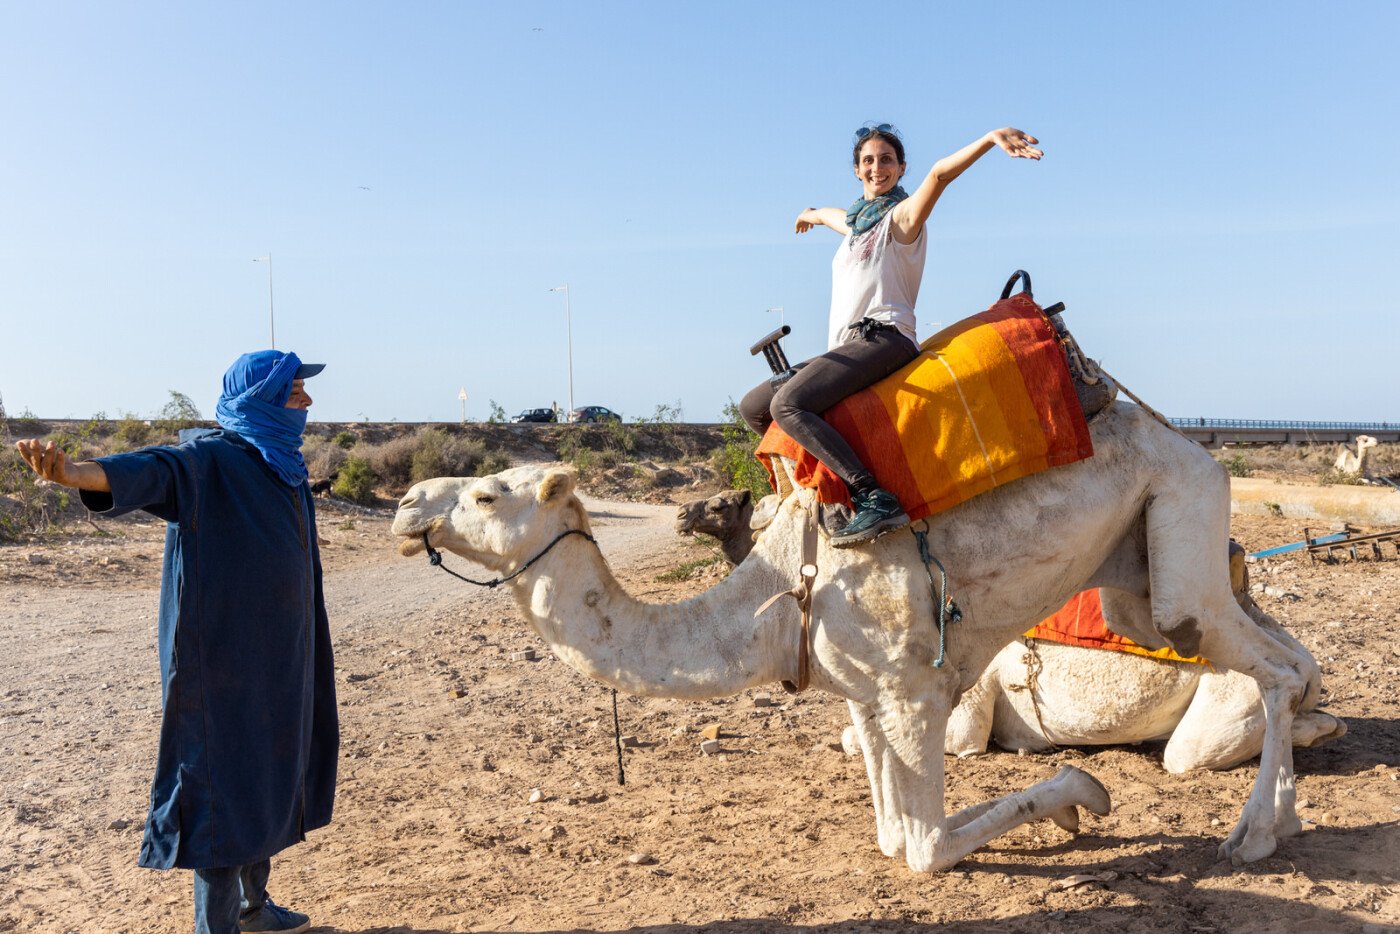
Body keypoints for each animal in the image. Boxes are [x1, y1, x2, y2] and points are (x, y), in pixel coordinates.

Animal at [397, 403, 1321, 879]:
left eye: (484, 495)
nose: (407, 506)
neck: (778, 598)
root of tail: (1186, 440)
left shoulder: (917, 692)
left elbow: (922, 848)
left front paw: (1083, 792)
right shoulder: (869, 695)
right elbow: (890, 832)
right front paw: (1073, 805)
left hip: (1179, 517)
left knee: (1263, 664)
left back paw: (1256, 834)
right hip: (1142, 569)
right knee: (1286, 657)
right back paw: (1288, 803)